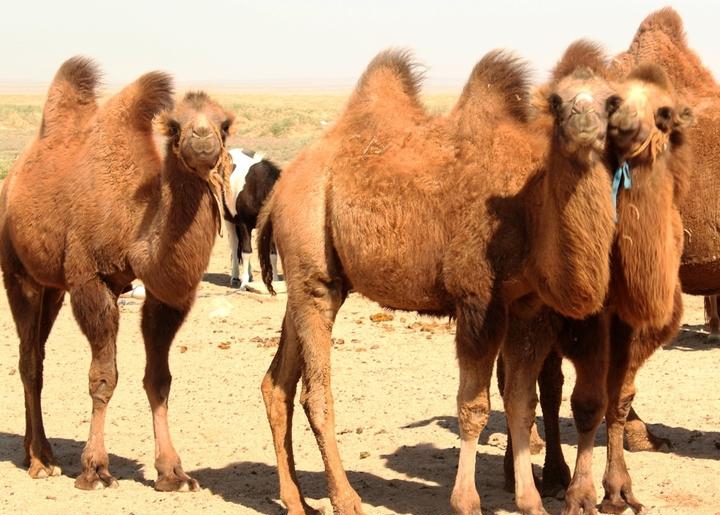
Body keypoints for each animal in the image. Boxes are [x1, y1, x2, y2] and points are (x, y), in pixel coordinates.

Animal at [0, 56, 235, 492]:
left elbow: (159, 379)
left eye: (224, 124)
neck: (133, 225)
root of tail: (13, 178)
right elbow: (103, 377)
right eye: (173, 126)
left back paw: (35, 453)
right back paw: (41, 460)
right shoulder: (90, 280)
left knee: (36, 350)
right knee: (28, 358)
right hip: (18, 271)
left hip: (52, 287)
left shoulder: (165, 296)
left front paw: (173, 473)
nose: (202, 139)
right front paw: (94, 469)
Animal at [255, 45, 620, 515]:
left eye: (612, 101)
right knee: (315, 393)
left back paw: (296, 499)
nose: (585, 123)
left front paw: (530, 501)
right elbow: (474, 407)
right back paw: (346, 498)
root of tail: (281, 186)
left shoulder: (528, 307)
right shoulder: (478, 300)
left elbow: (522, 404)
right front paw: (466, 501)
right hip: (310, 257)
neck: (530, 204)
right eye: (558, 102)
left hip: (313, 281)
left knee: (277, 384)